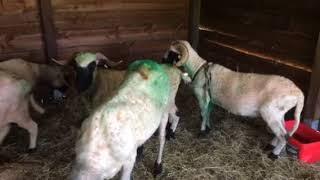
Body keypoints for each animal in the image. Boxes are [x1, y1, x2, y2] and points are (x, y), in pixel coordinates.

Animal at [165, 40, 304, 158]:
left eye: (171, 53)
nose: (162, 59)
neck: (198, 68)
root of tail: (298, 93)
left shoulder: (202, 97)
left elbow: (203, 114)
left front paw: (202, 132)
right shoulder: (210, 100)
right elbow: (208, 114)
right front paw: (208, 129)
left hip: (270, 112)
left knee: (283, 135)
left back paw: (274, 154)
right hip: (279, 113)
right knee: (284, 131)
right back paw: (270, 146)